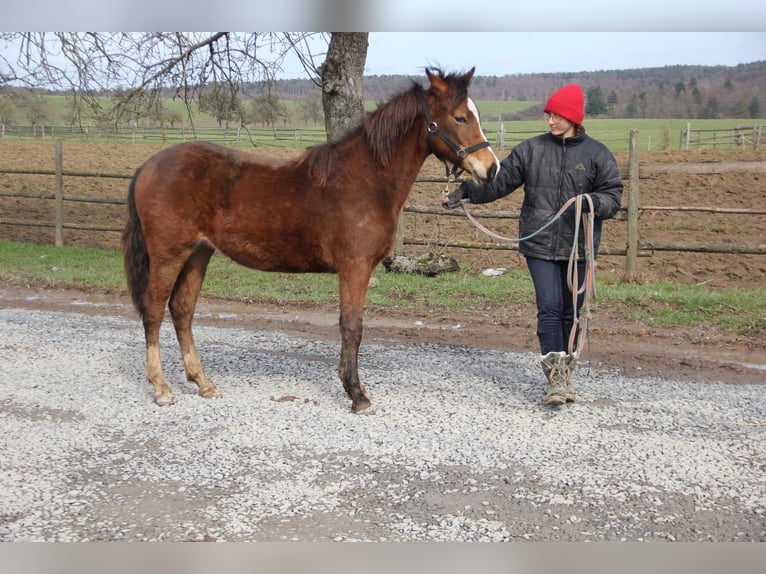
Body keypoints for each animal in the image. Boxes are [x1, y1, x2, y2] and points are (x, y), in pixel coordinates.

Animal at [123, 67, 500, 412]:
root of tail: (147, 167)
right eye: (460, 116)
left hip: (198, 254)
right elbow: (352, 327)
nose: (491, 168)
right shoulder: (355, 267)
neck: (365, 180)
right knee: (154, 310)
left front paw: (349, 383)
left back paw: (203, 383)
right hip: (169, 254)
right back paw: (162, 388)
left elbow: (348, 325)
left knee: (182, 310)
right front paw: (357, 394)